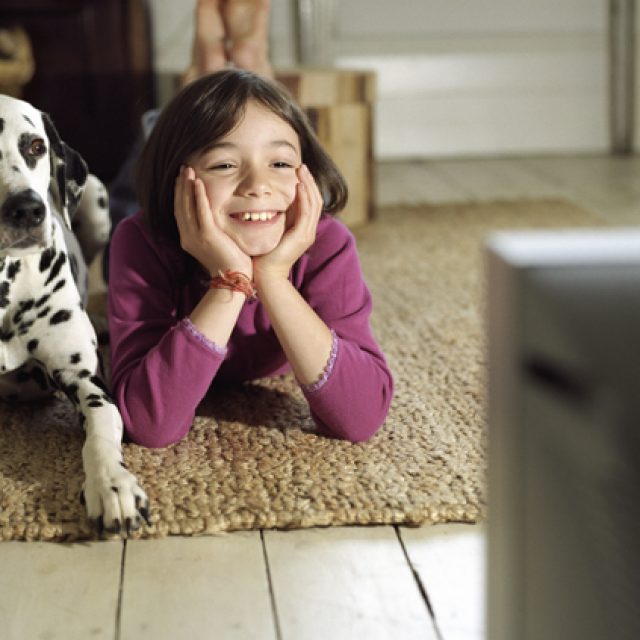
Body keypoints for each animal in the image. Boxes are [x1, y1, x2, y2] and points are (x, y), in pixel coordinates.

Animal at [0, 94, 149, 536]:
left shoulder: (84, 379)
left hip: (96, 200)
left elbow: (102, 428)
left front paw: (112, 484)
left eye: (35, 146)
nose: (27, 210)